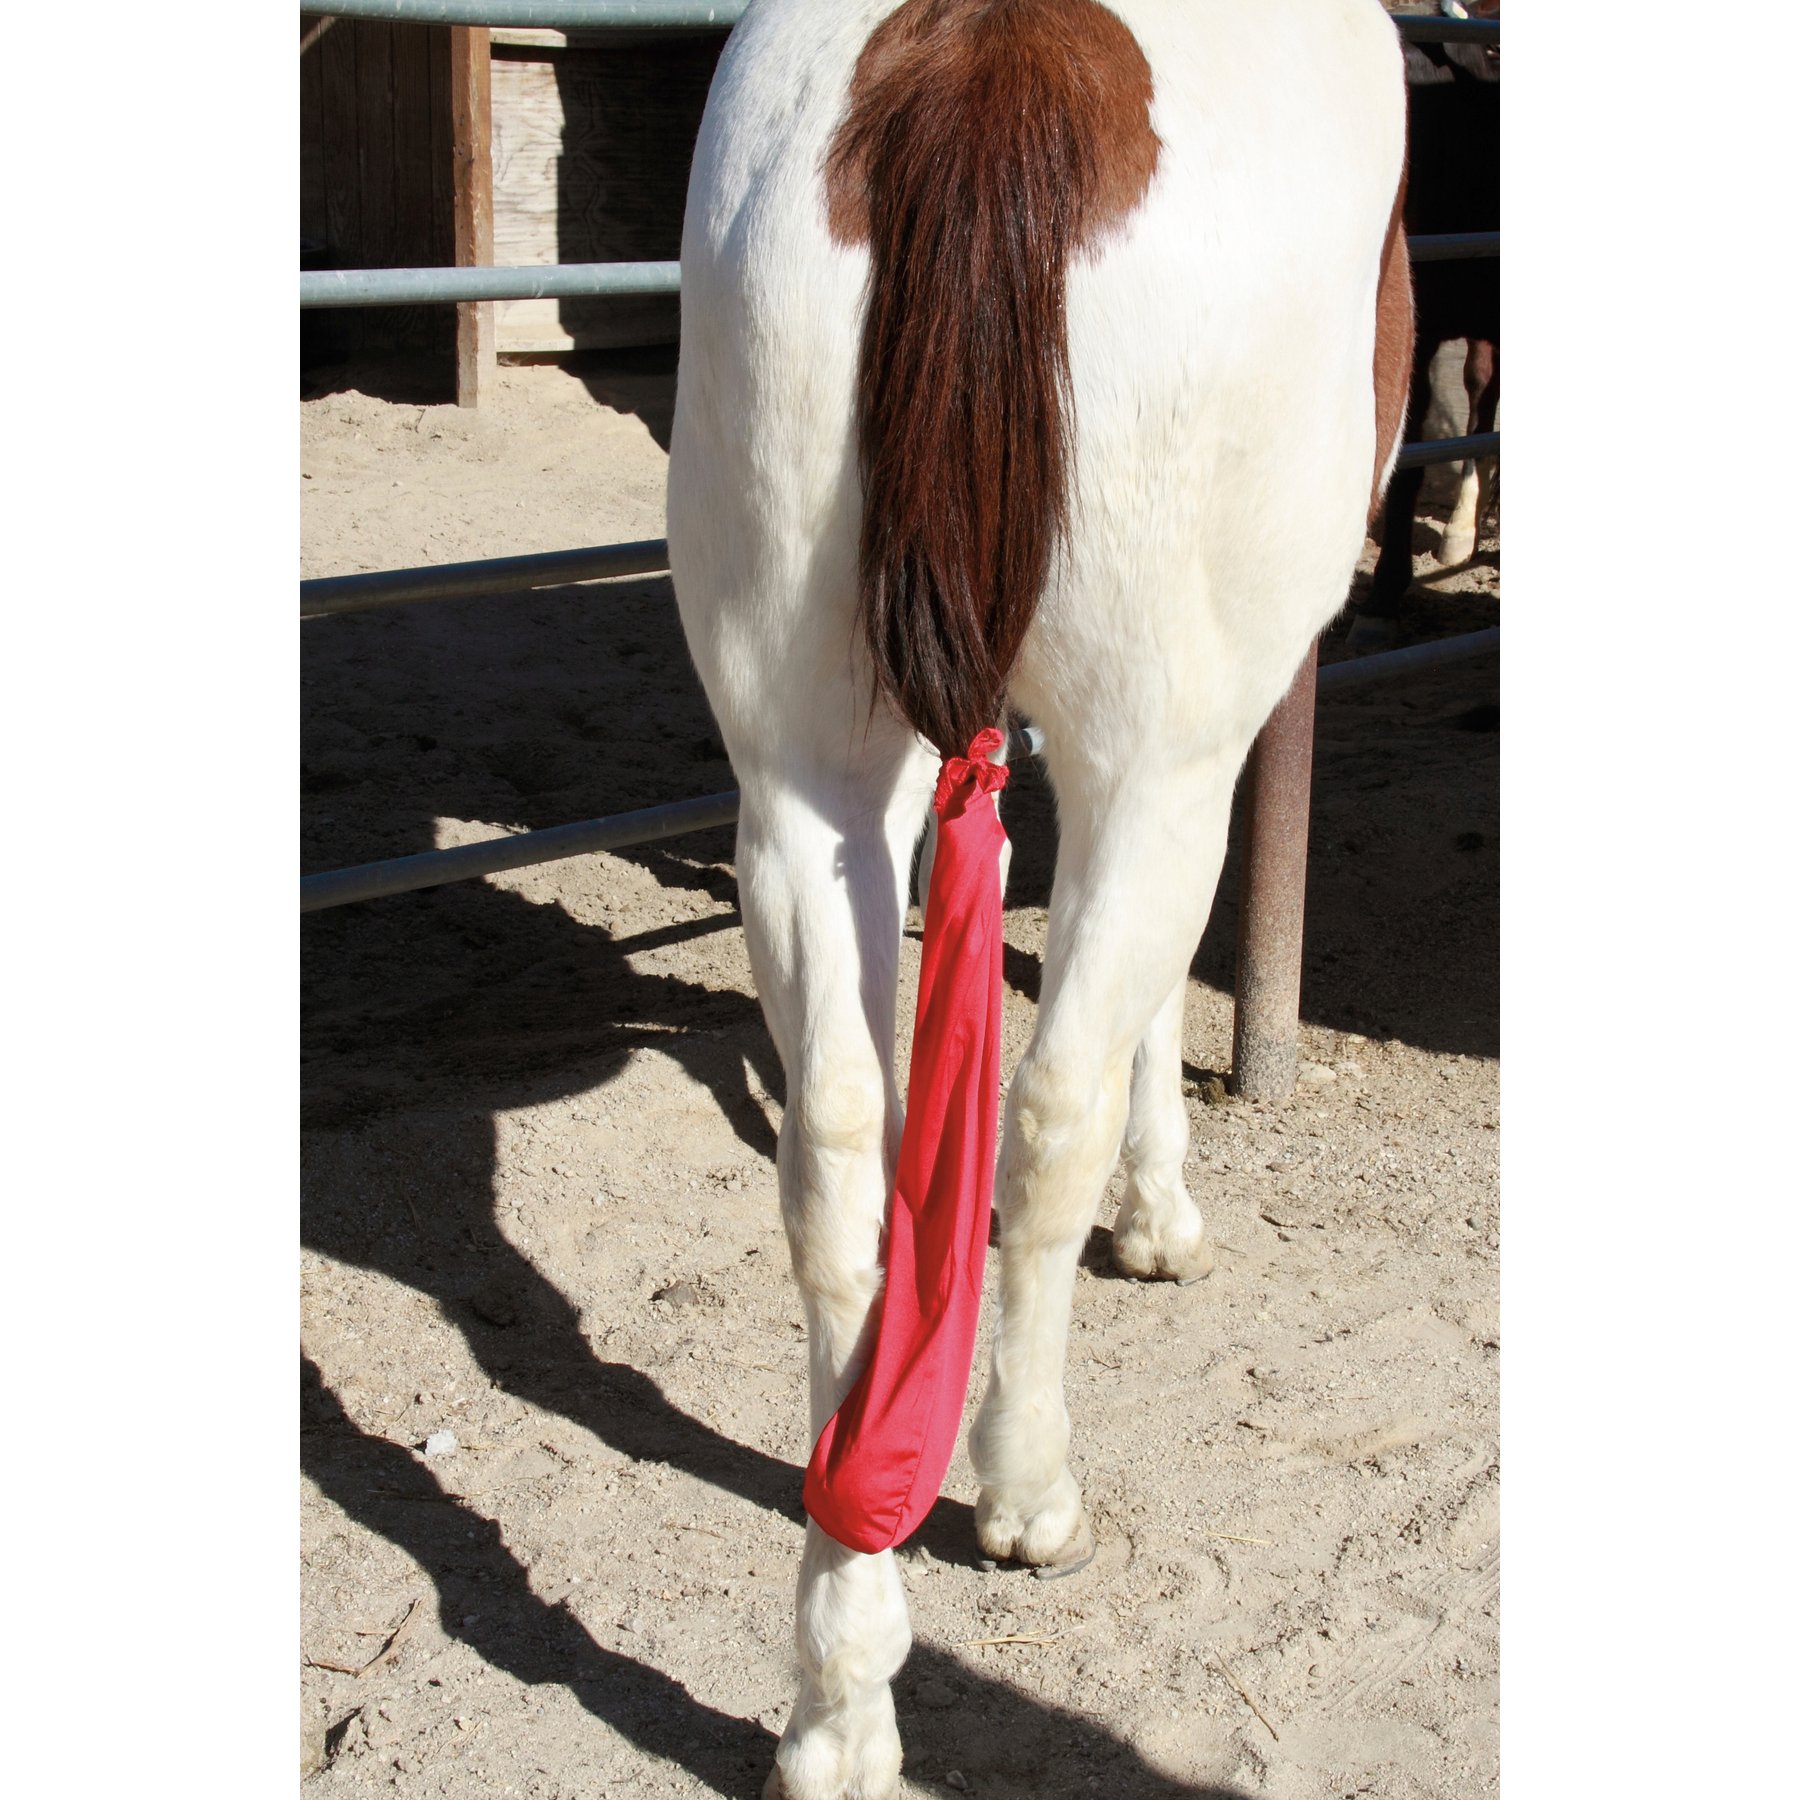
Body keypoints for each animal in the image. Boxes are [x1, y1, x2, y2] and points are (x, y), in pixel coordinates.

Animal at [666, 3, 1410, 1793]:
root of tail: (993, 64)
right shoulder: (1202, 739)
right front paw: (1162, 1211)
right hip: (1163, 745)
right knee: (1049, 1102)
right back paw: (1023, 1486)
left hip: (802, 774)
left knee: (842, 1163)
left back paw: (841, 1696)